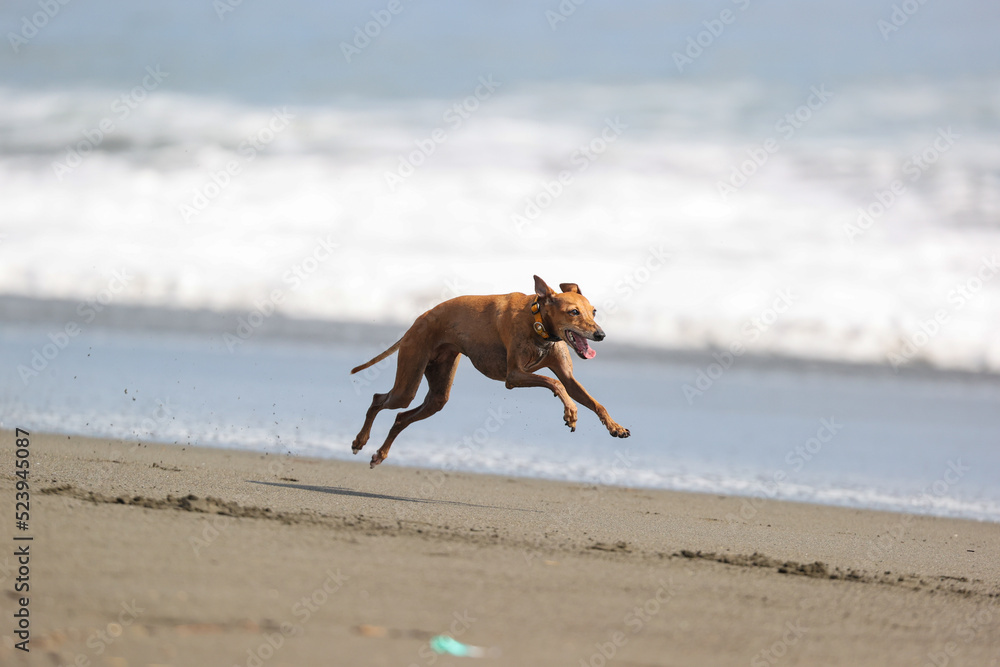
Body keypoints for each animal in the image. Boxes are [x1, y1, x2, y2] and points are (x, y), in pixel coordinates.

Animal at [352, 276, 628, 470]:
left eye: (593, 311)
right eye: (573, 312)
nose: (601, 335)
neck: (538, 322)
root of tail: (418, 320)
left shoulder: (568, 379)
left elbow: (593, 401)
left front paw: (615, 427)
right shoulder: (514, 376)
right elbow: (553, 383)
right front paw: (570, 412)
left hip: (438, 394)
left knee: (401, 418)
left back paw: (379, 454)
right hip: (408, 381)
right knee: (378, 400)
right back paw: (360, 440)